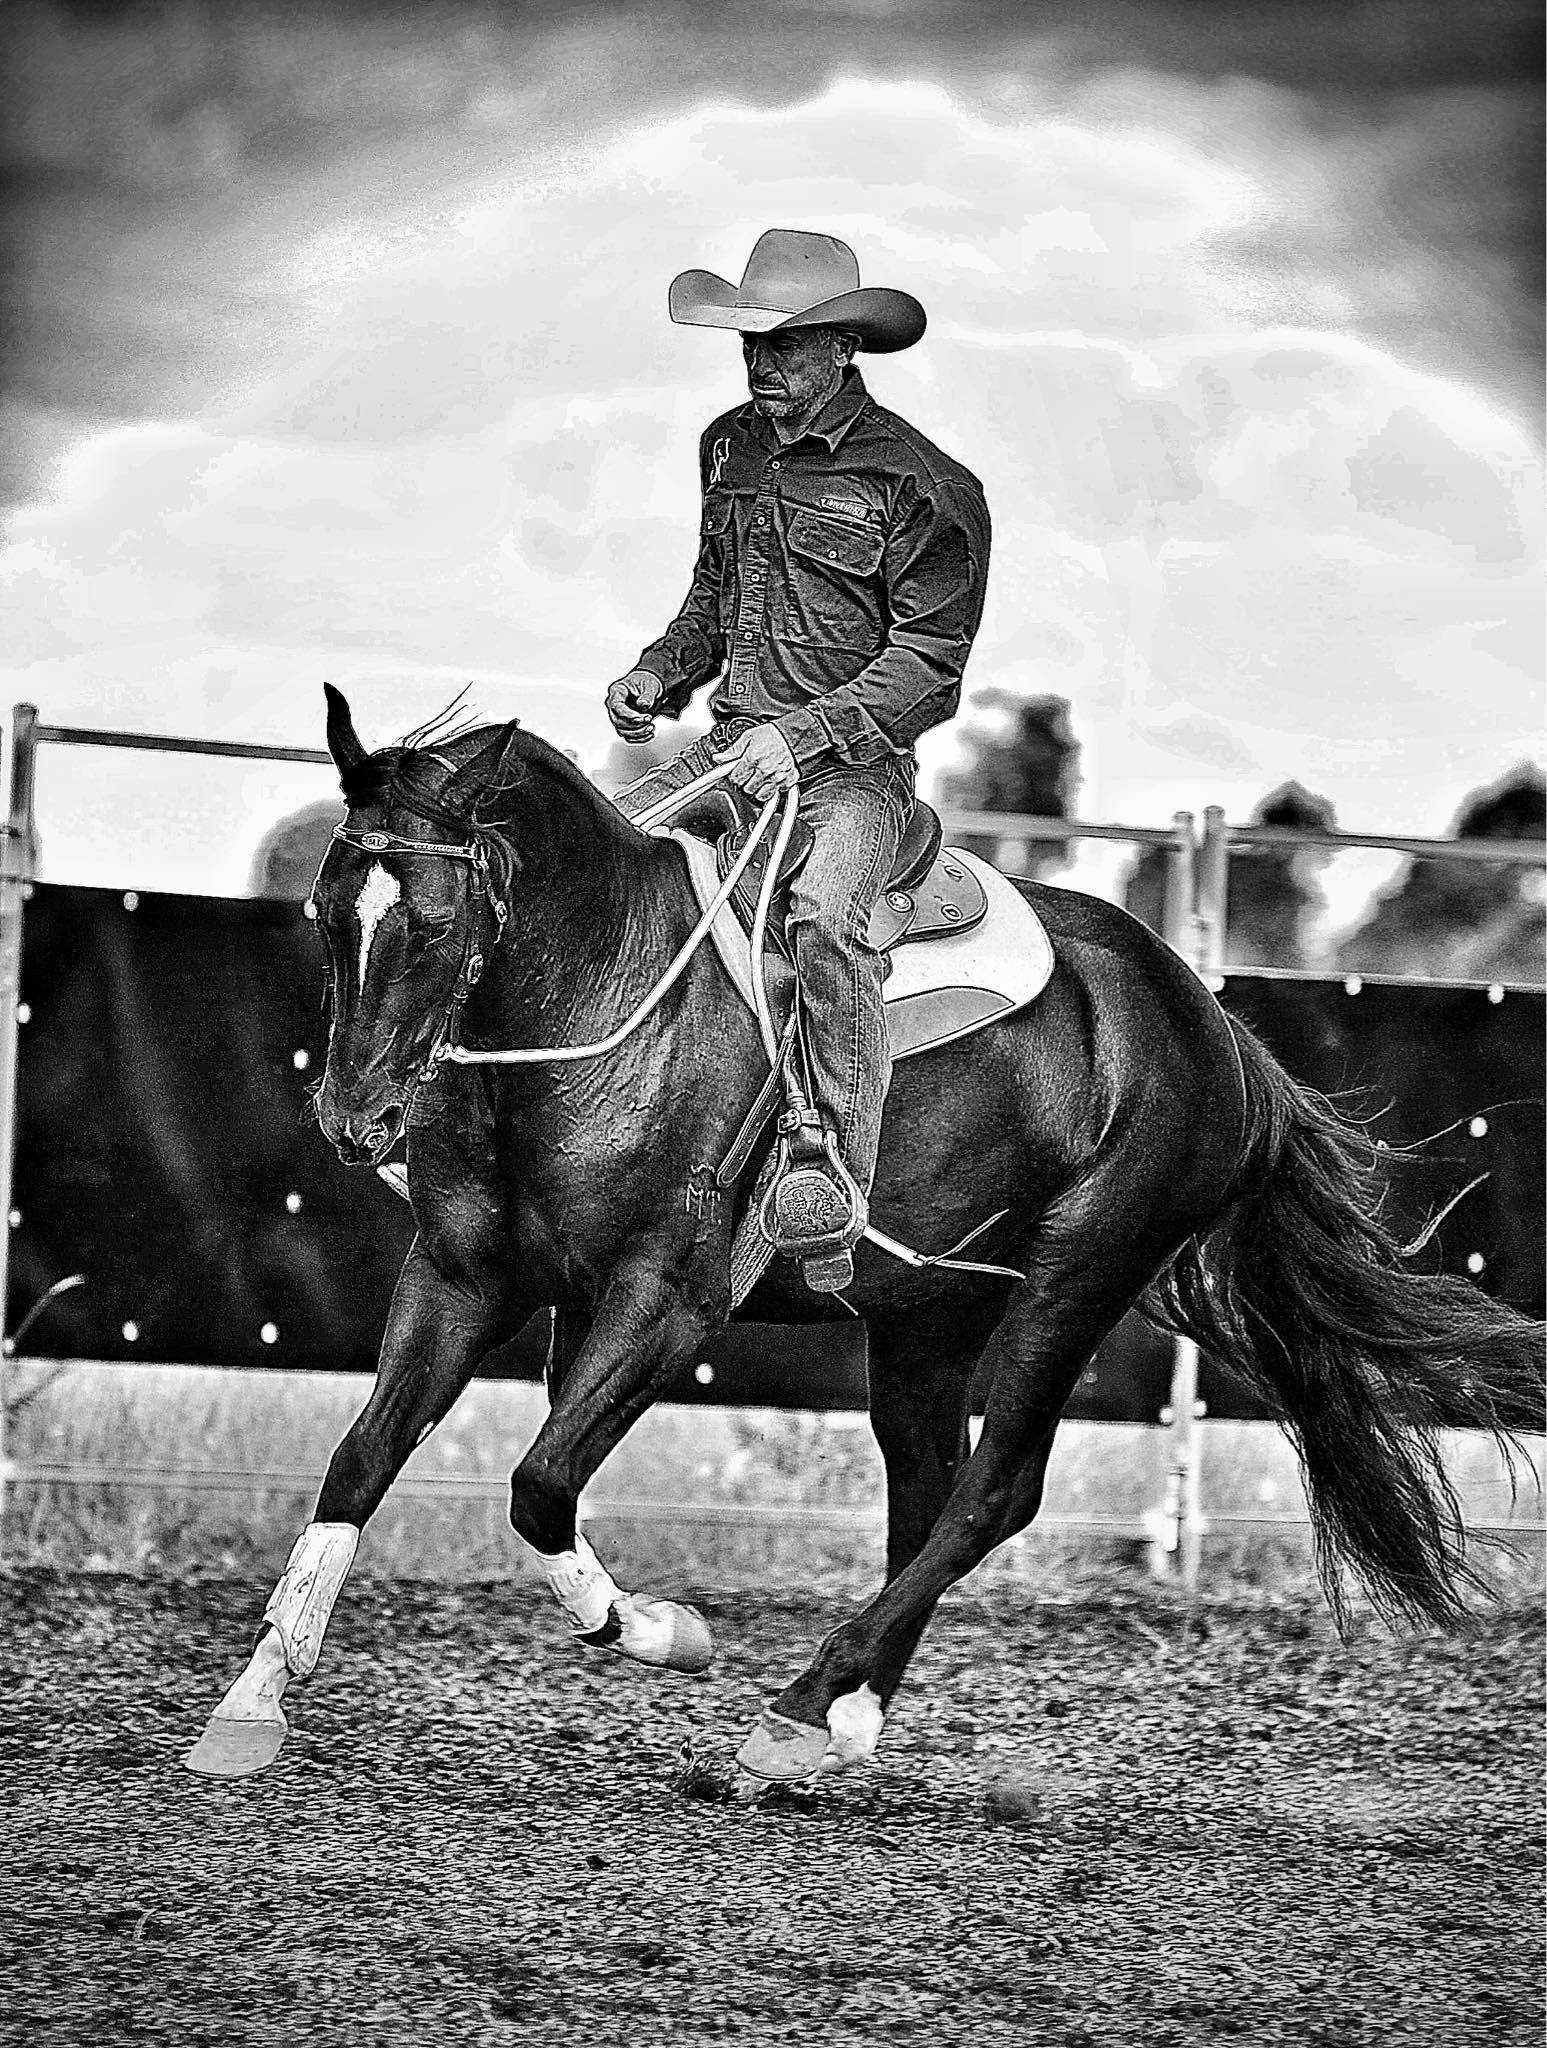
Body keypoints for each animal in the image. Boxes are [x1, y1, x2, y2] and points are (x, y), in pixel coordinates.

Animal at [185, 688, 1542, 1784]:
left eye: (424, 920)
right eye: (325, 908)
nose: (352, 1119)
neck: (604, 992)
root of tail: (1214, 1030)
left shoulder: (668, 1300)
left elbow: (540, 1483)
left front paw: (666, 1631)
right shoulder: (462, 1276)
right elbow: (361, 1460)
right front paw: (252, 1700)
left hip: (1073, 1280)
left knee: (992, 1490)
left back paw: (794, 1702)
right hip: (928, 1317)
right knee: (927, 1487)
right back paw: (837, 1722)